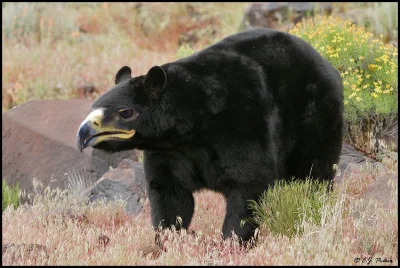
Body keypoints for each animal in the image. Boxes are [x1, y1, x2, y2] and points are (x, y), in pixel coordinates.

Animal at [78, 28, 344, 243]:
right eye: (92, 106)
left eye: (125, 112)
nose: (83, 133)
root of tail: (327, 63)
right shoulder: (169, 152)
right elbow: (170, 193)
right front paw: (168, 239)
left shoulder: (241, 122)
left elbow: (249, 183)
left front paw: (233, 241)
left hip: (315, 117)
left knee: (314, 173)